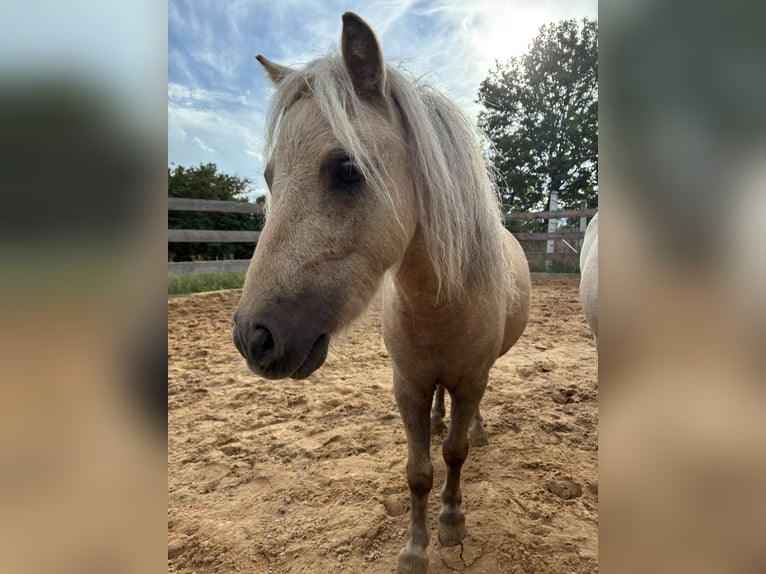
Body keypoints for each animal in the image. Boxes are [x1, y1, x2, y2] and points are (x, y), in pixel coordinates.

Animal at [232, 12, 531, 573]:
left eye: (348, 170)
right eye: (269, 176)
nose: (252, 338)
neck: (441, 303)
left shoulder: (471, 379)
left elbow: (454, 454)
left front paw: (451, 523)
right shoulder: (407, 384)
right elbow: (418, 471)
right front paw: (414, 549)